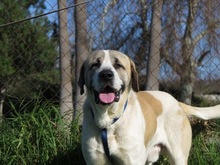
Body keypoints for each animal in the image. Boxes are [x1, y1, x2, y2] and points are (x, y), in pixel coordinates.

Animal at [78, 50, 220, 165]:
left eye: (118, 65)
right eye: (95, 65)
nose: (106, 74)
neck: (109, 120)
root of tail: (177, 102)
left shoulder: (132, 160)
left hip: (178, 156)